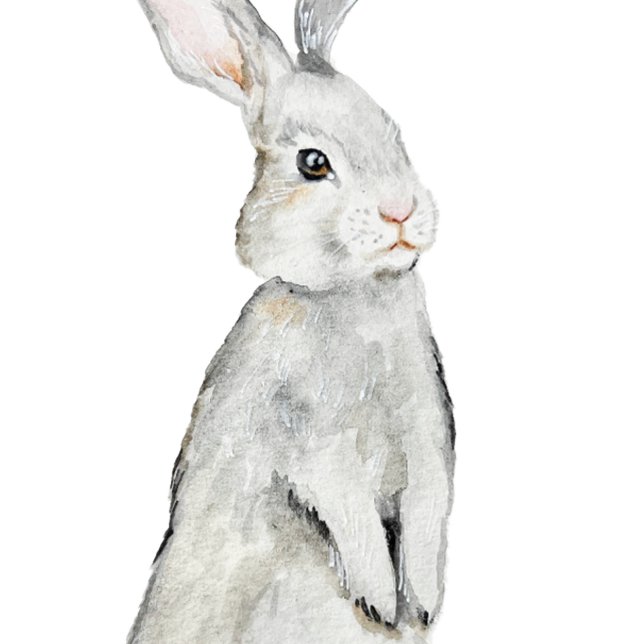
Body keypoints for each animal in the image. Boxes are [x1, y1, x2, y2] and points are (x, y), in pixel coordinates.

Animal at [129, 1, 455, 642]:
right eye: (312, 163)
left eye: (394, 133)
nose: (401, 211)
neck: (353, 293)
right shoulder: (309, 437)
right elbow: (346, 500)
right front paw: (379, 598)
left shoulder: (426, 422)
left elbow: (429, 500)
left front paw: (423, 600)